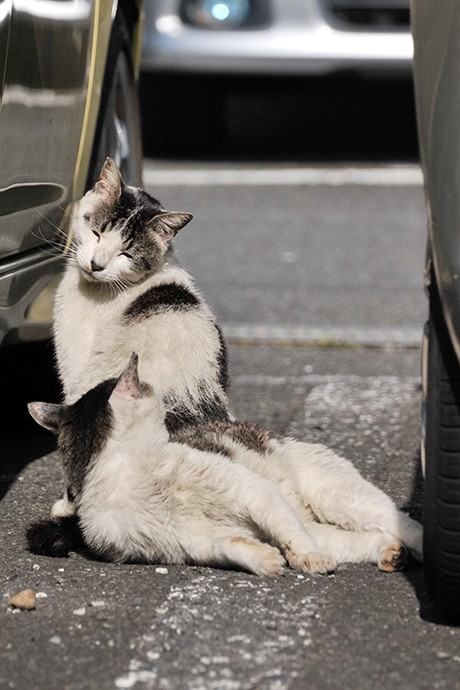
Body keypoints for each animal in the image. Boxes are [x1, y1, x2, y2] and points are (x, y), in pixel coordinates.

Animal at [27, 352, 424, 572]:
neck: (130, 477)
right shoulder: (191, 543)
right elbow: (233, 546)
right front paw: (266, 560)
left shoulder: (255, 493)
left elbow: (288, 532)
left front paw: (306, 558)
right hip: (326, 524)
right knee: (358, 538)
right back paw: (390, 553)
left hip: (339, 497)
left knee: (398, 522)